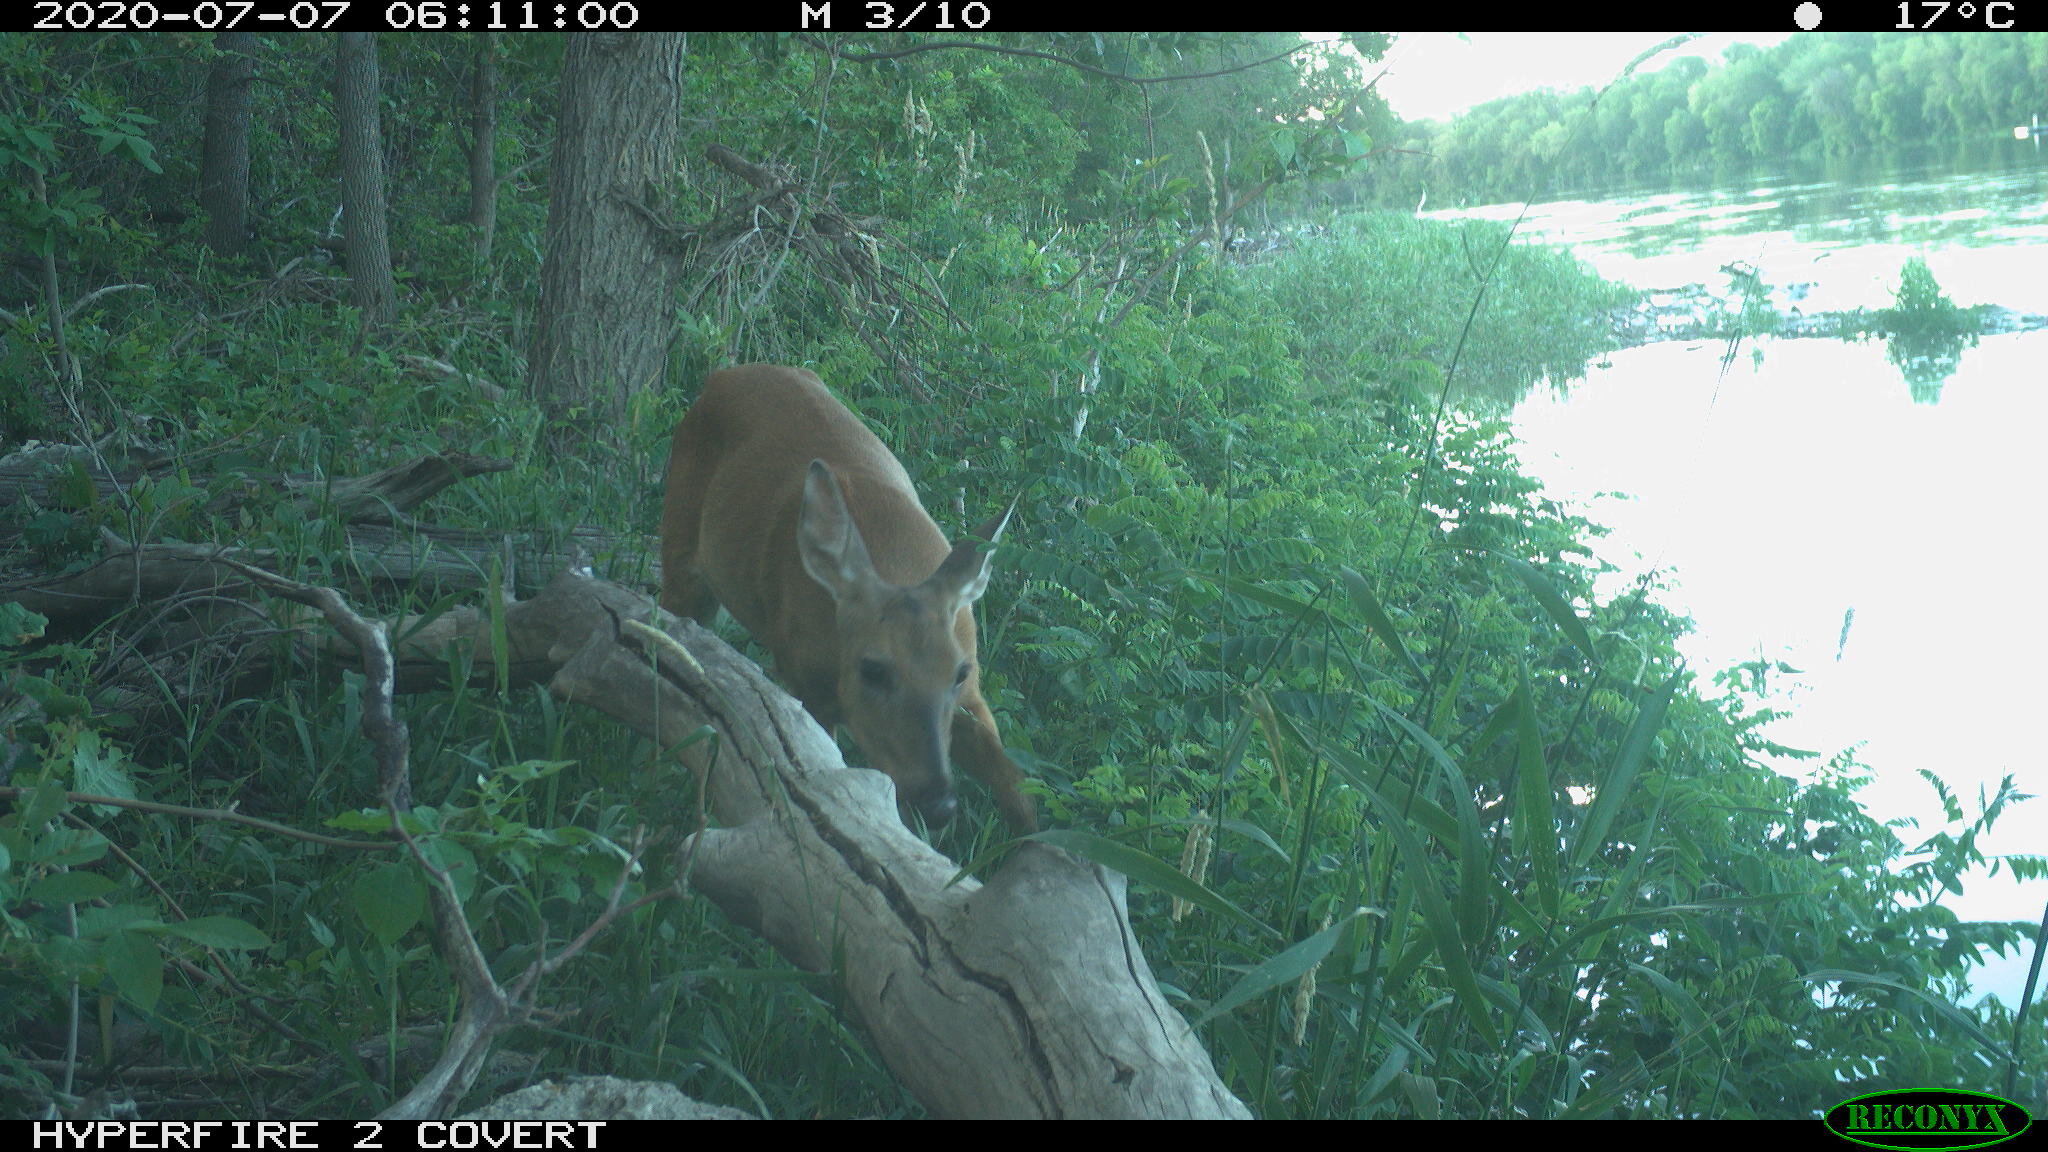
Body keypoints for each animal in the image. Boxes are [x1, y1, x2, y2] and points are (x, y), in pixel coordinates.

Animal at [658, 364, 1038, 834]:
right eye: (873, 669)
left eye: (959, 672)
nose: (939, 804)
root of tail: (726, 373)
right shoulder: (806, 685)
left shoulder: (970, 690)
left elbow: (1018, 788)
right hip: (679, 539)